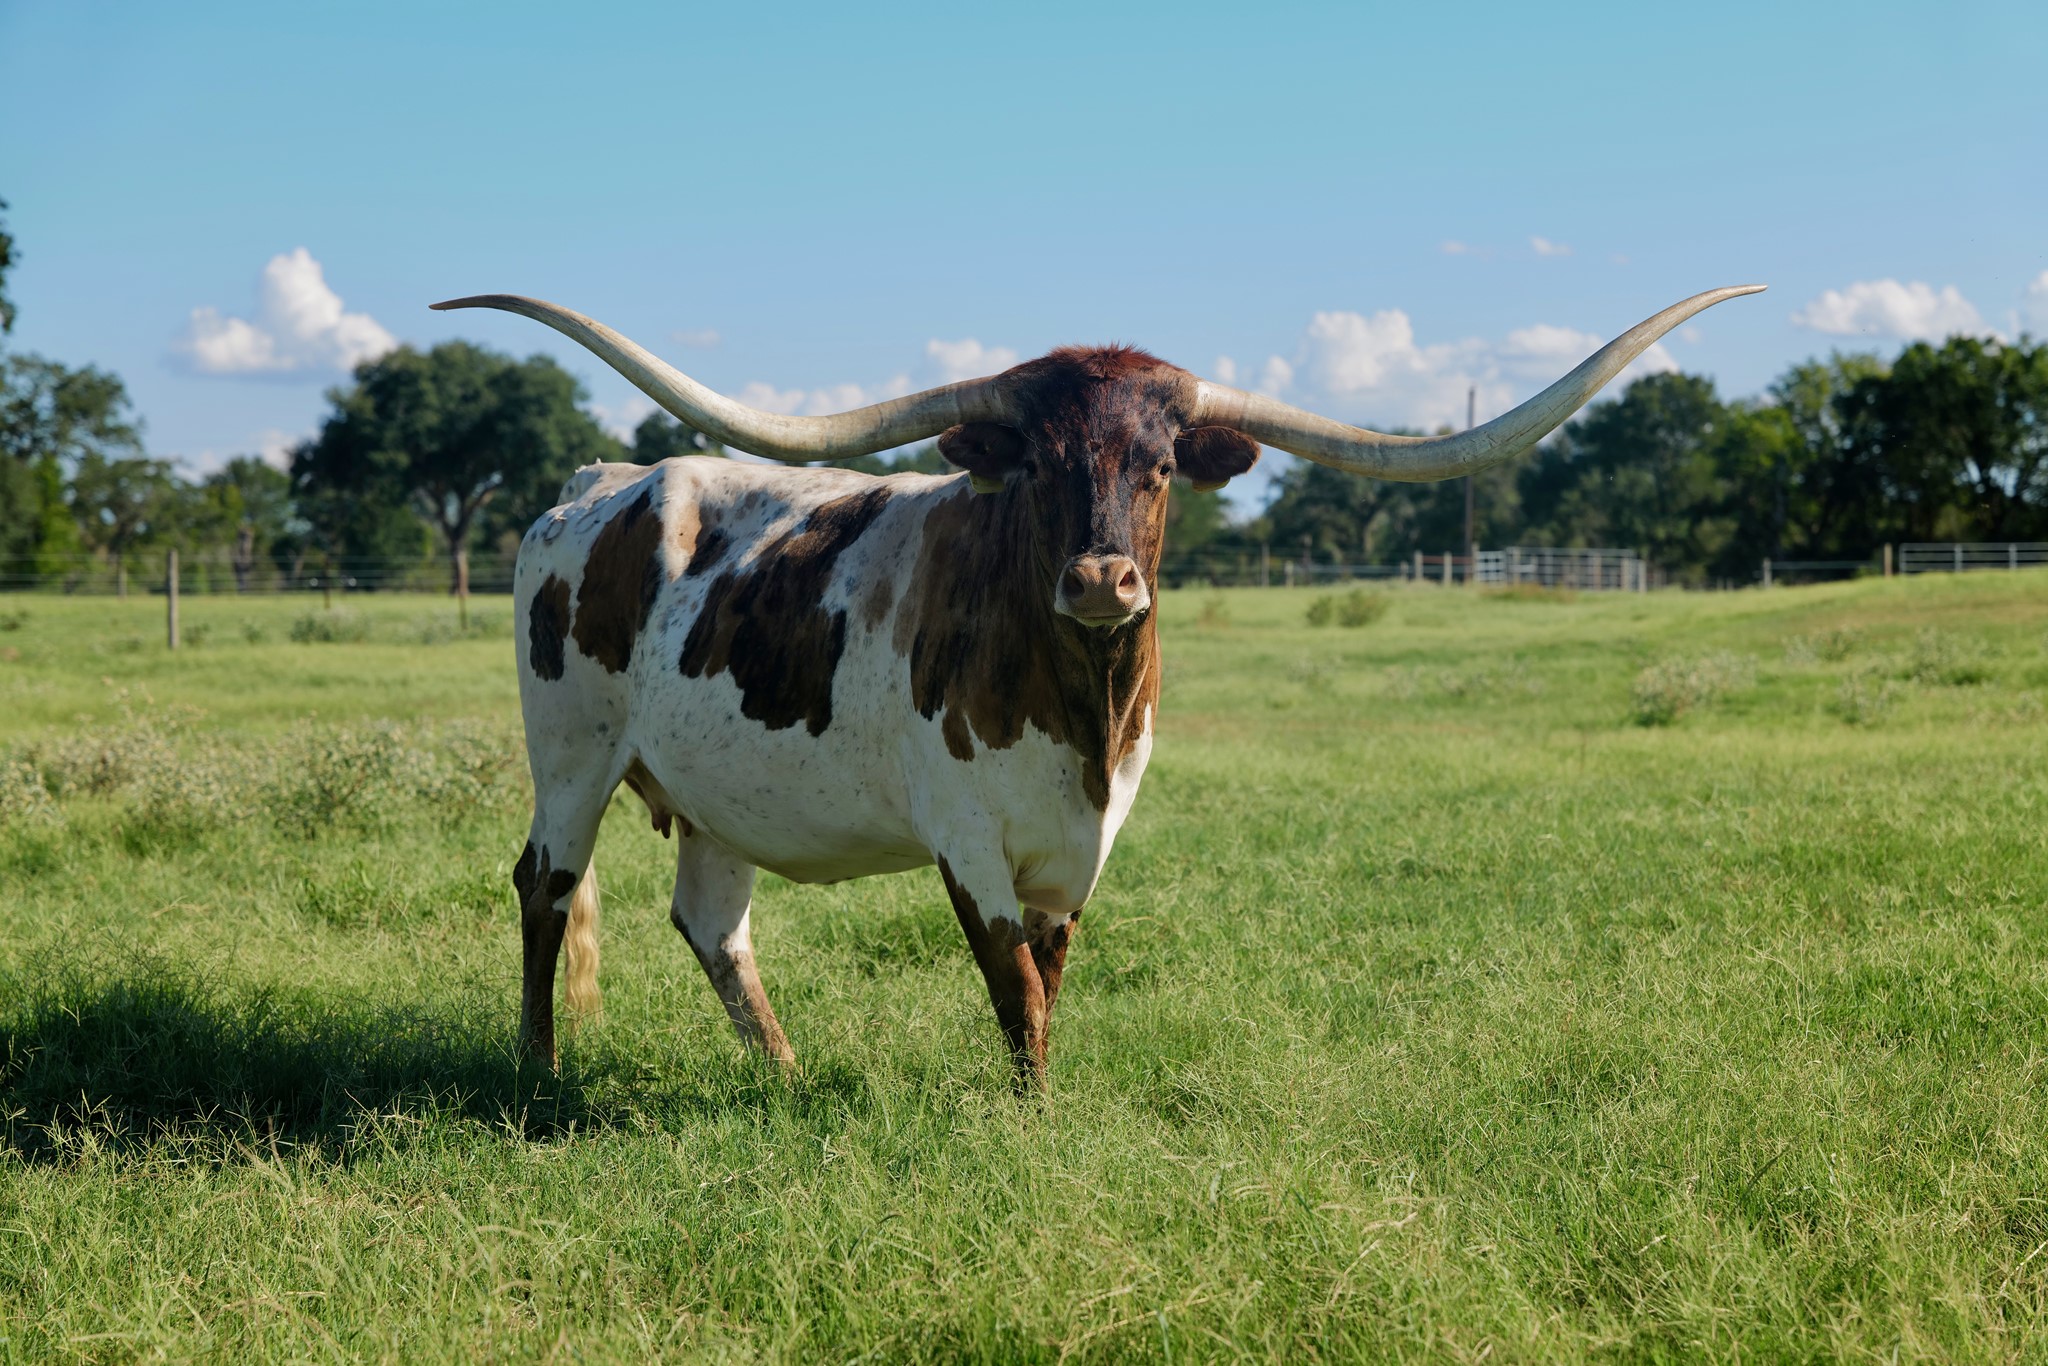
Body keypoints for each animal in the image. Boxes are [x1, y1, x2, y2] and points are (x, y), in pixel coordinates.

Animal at [432, 284, 1762, 1085]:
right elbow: (1012, 986)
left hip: (717, 793)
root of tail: (600, 480)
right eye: (1035, 462)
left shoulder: (1084, 845)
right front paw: (1032, 1120)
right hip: (570, 753)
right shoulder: (967, 837)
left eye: (1162, 464)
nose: (1100, 578)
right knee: (545, 887)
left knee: (713, 927)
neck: (1079, 709)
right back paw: (539, 1071)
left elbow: (1051, 981)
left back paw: (785, 1075)